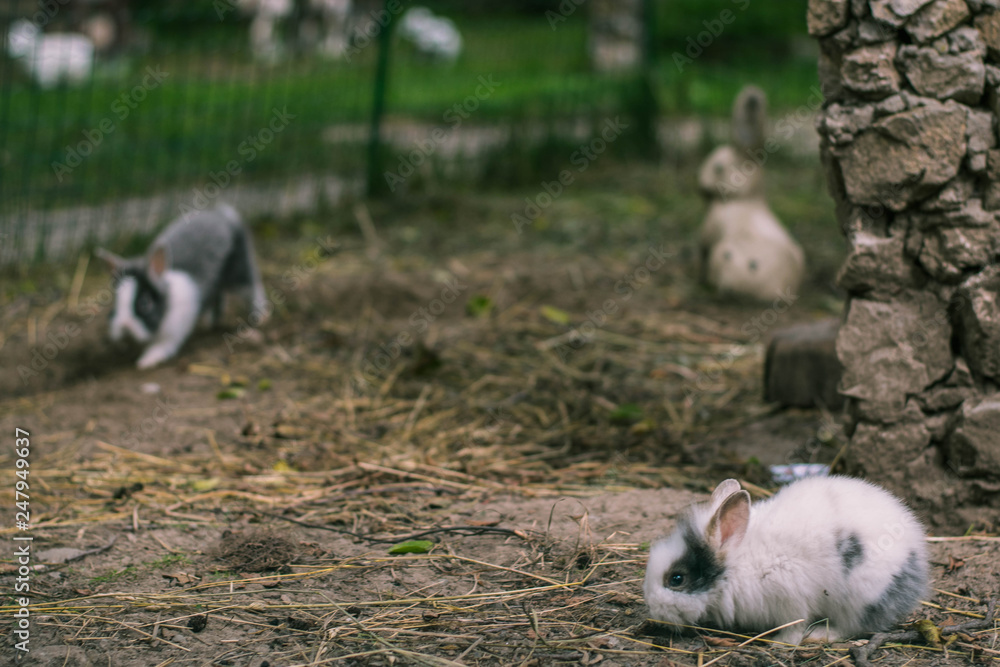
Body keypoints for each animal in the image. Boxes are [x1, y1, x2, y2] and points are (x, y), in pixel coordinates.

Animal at [96, 204, 268, 370]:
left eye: (145, 303)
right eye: (116, 302)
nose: (124, 326)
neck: (167, 304)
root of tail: (223, 215)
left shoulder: (173, 334)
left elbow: (161, 347)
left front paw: (145, 362)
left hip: (239, 271)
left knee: (253, 288)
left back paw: (260, 316)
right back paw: (209, 324)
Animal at [643, 476, 928, 645]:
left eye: (676, 579)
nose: (653, 610)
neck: (737, 566)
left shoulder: (790, 598)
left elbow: (795, 625)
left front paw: (781, 643)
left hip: (859, 597)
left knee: (852, 626)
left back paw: (817, 636)